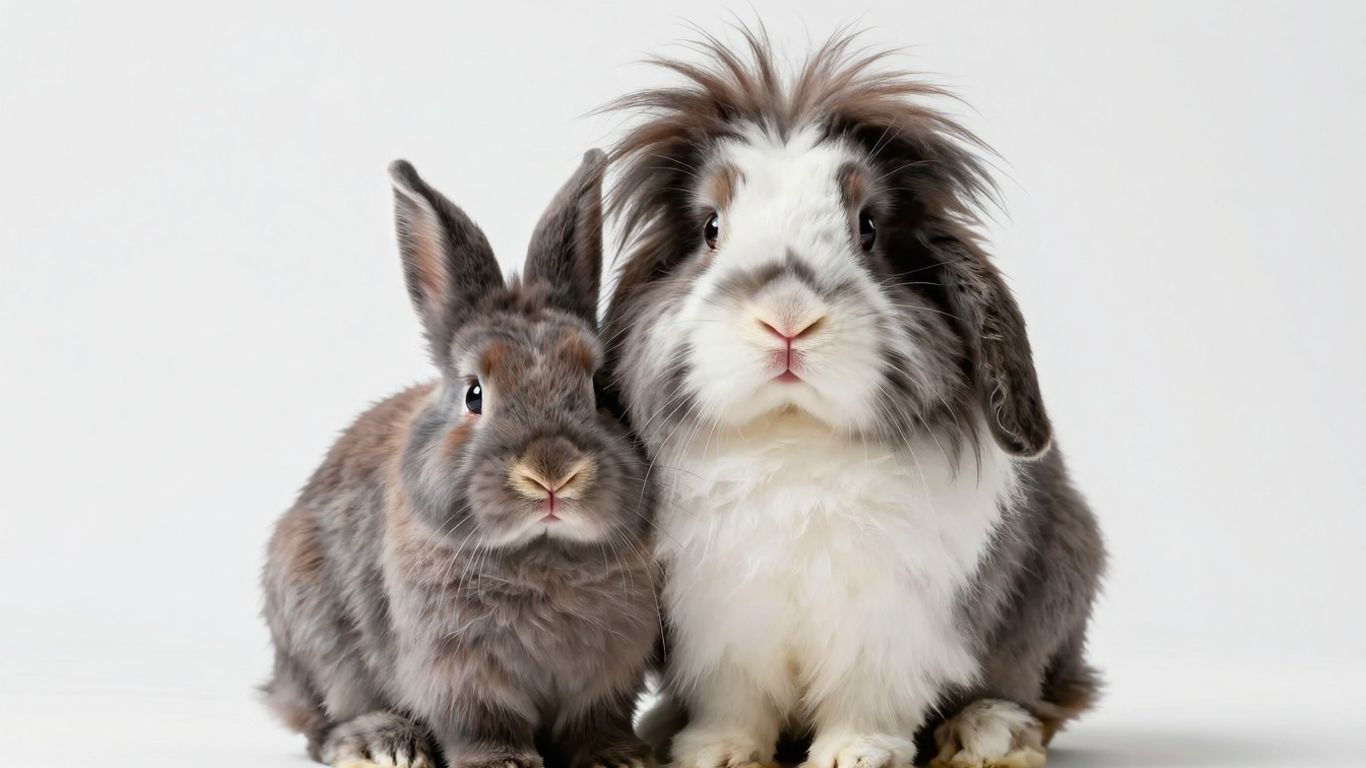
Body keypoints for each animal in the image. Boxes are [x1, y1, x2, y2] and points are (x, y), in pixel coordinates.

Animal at [261, 150, 659, 768]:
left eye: (600, 389)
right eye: (474, 394)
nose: (552, 473)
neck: (543, 552)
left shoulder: (610, 671)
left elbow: (596, 722)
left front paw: (620, 757)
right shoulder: (458, 668)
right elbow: (482, 722)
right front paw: (504, 763)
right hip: (320, 641)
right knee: (323, 723)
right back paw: (383, 743)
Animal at [600, 30, 1105, 768]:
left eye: (868, 228)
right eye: (711, 229)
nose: (787, 319)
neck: (793, 438)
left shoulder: (892, 625)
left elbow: (870, 696)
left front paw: (855, 756)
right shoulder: (720, 626)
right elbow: (735, 701)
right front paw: (714, 753)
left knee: (1040, 696)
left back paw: (985, 735)